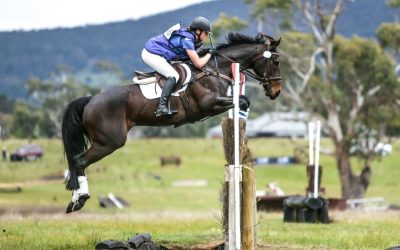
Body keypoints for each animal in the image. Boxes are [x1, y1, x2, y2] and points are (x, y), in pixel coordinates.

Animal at [62, 31, 282, 213]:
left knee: (76, 161)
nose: (276, 91)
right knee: (79, 161)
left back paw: (74, 201)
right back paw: (80, 199)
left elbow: (243, 100)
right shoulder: (210, 104)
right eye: (276, 62)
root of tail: (90, 99)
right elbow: (243, 100)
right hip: (109, 142)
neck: (214, 69)